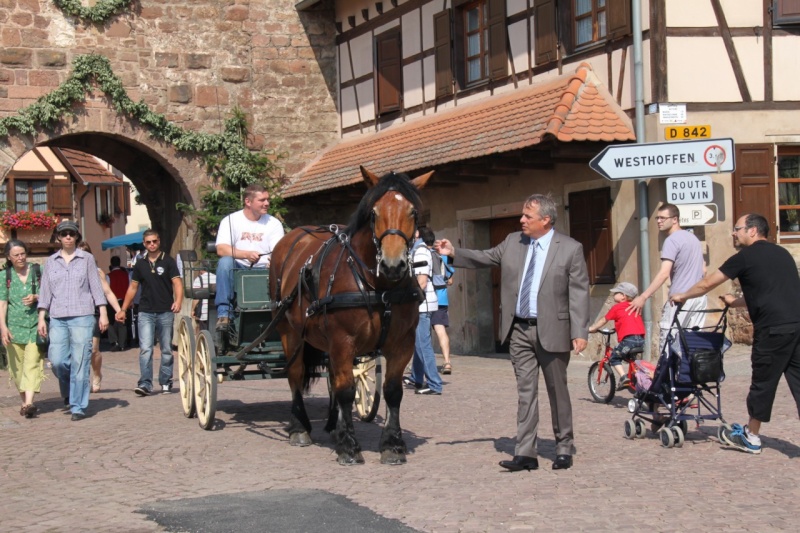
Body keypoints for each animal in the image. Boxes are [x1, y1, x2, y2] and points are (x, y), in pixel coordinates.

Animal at [268, 166, 432, 466]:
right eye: (374, 213)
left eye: (413, 212)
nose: (393, 265)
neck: (380, 287)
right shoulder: (343, 341)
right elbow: (346, 389)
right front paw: (349, 446)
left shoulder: (402, 343)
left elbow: (392, 391)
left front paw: (392, 445)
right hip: (290, 332)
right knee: (296, 374)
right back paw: (300, 428)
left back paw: (335, 426)